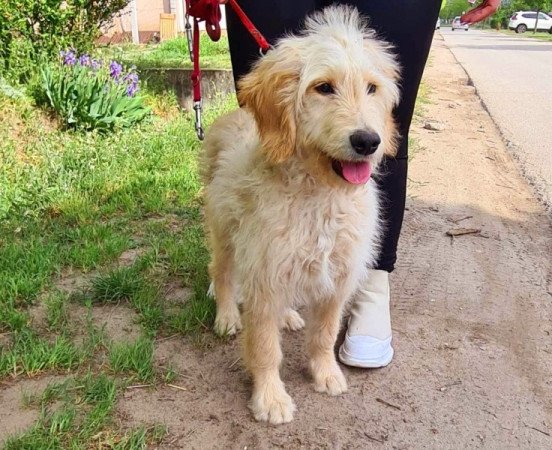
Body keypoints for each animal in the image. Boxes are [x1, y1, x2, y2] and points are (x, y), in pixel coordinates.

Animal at [201, 5, 398, 424]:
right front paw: (270, 397)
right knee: (221, 272)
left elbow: (324, 335)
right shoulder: (264, 273)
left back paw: (288, 315)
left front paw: (325, 373)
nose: (368, 141)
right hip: (225, 232)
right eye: (323, 87)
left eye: (372, 88)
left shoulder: (337, 276)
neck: (320, 194)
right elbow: (264, 346)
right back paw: (226, 315)